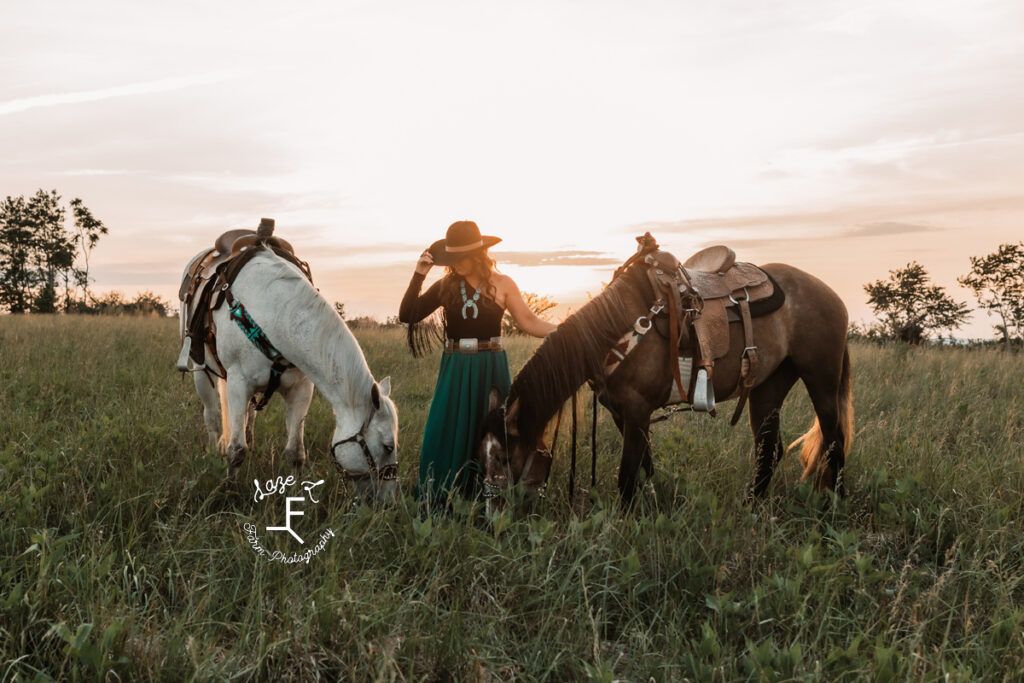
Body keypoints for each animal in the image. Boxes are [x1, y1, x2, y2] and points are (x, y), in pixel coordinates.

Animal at [479, 237, 856, 509]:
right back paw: (751, 508)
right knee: (768, 449)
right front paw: (654, 506)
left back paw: (833, 507)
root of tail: (832, 296)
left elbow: (627, 478)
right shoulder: (623, 413)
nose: (491, 513)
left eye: (502, 456)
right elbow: (645, 466)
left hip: (821, 380)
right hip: (768, 387)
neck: (618, 328)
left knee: (834, 441)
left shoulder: (636, 409)